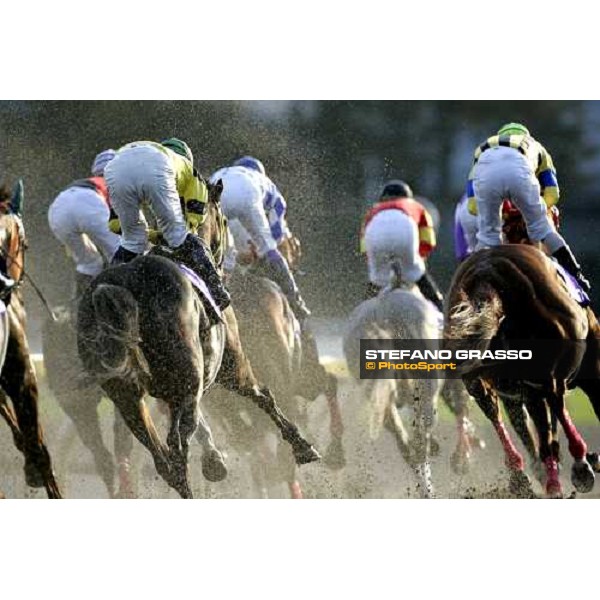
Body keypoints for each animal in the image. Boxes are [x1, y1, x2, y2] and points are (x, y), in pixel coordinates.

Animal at [77, 180, 322, 500]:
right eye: (224, 220)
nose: (223, 257)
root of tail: (119, 289)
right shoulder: (232, 364)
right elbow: (263, 394)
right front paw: (302, 446)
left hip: (127, 397)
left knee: (164, 458)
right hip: (188, 382)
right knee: (178, 447)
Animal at [442, 243, 596, 496]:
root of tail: (486, 273)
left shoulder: (520, 390)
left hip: (475, 374)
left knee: (493, 411)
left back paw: (521, 475)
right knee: (554, 403)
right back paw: (576, 467)